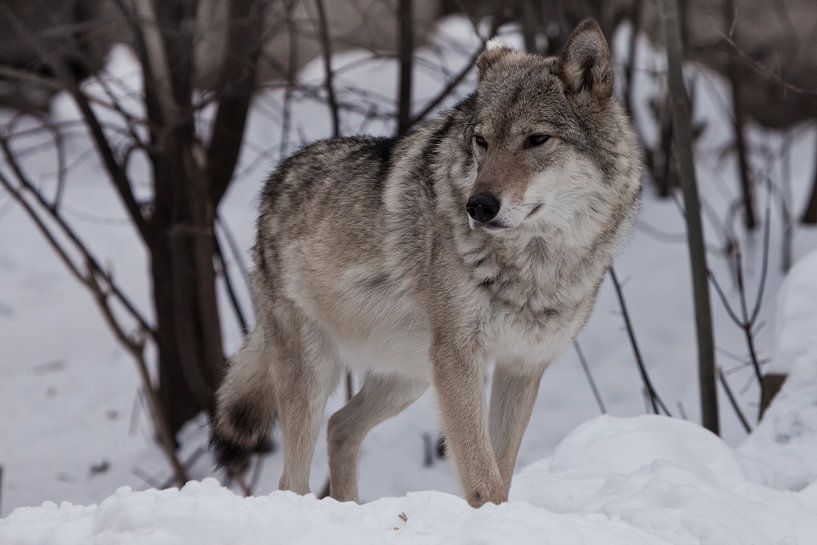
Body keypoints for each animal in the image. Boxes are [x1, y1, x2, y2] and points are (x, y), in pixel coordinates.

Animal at [212, 20, 644, 506]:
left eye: (536, 139)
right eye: (481, 141)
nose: (479, 206)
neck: (535, 266)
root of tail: (274, 183)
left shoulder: (522, 366)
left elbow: (502, 469)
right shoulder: (459, 358)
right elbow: (482, 477)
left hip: (409, 377)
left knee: (340, 426)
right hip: (320, 374)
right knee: (293, 479)